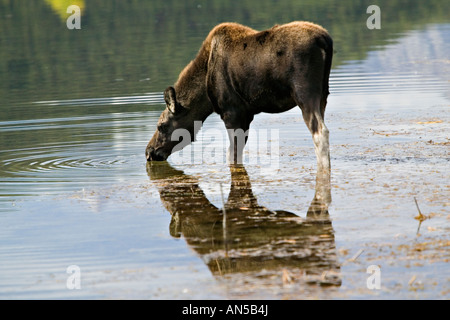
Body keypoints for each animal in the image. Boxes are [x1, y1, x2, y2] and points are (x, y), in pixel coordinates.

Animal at [146, 21, 332, 172]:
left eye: (161, 126)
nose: (149, 151)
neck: (205, 96)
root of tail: (325, 40)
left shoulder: (232, 113)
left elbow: (232, 154)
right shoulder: (246, 115)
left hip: (305, 94)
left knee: (320, 132)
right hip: (323, 95)